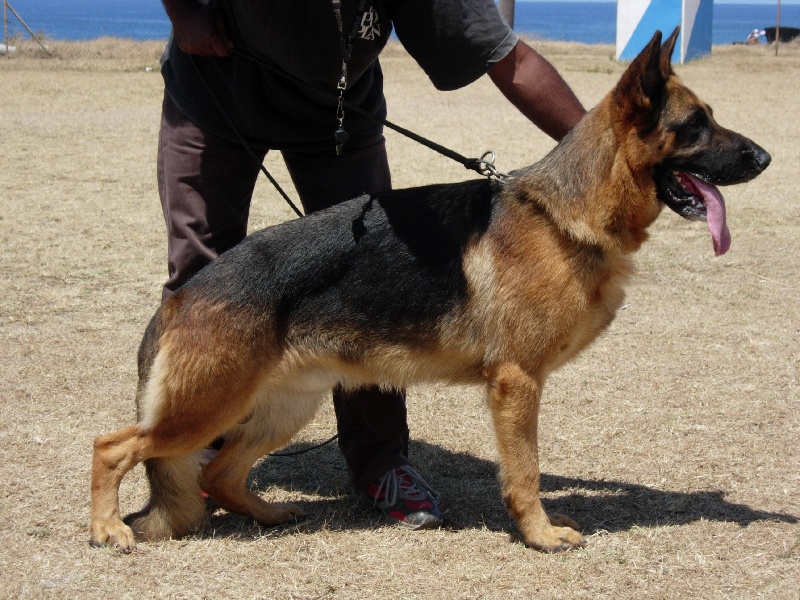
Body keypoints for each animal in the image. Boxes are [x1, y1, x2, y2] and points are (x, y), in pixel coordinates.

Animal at [90, 28, 770, 553]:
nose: (765, 157)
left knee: (222, 476)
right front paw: (540, 535)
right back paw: (106, 529)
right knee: (114, 446)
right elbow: (525, 473)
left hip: (281, 406)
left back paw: (268, 514)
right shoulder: (517, 383)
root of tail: (180, 297)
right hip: (207, 407)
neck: (564, 213)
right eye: (696, 126)